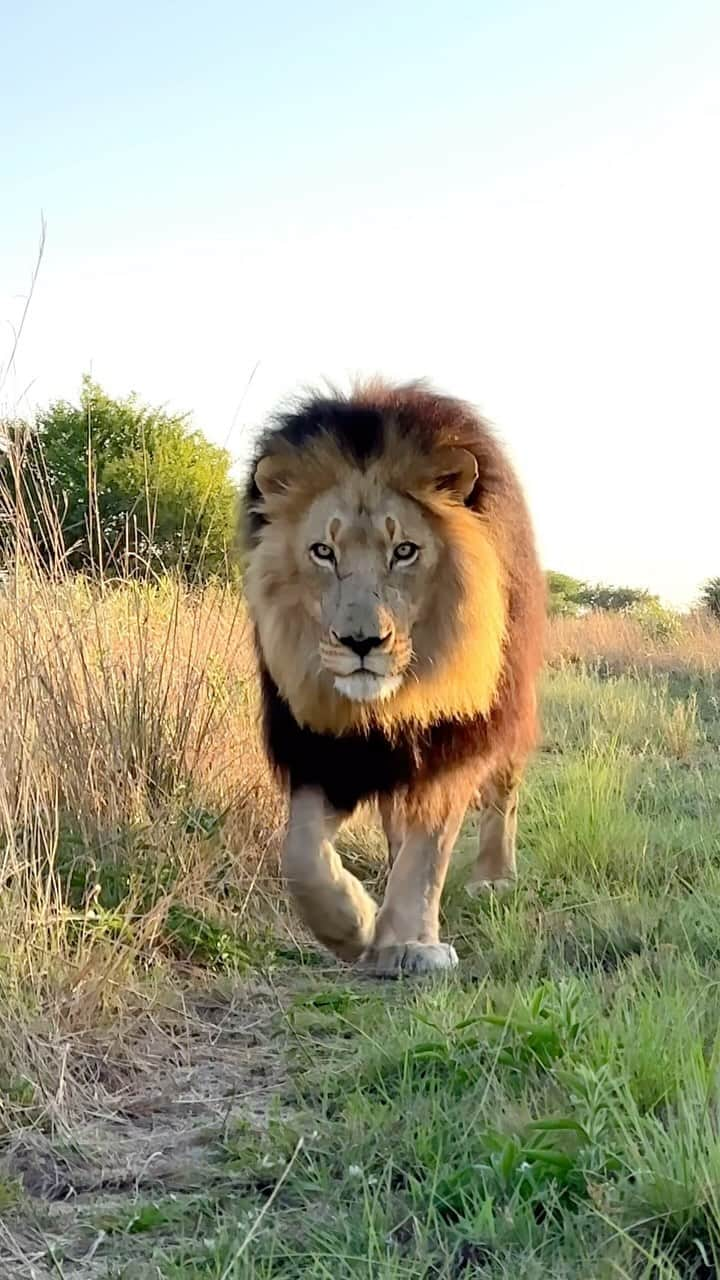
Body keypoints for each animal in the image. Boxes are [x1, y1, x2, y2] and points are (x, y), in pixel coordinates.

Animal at [242, 378, 543, 977]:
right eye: (323, 551)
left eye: (404, 551)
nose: (362, 643)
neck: (392, 703)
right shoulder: (321, 747)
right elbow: (300, 855)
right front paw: (352, 925)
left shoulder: (454, 739)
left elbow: (429, 851)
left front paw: (409, 944)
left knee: (502, 794)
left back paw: (493, 877)